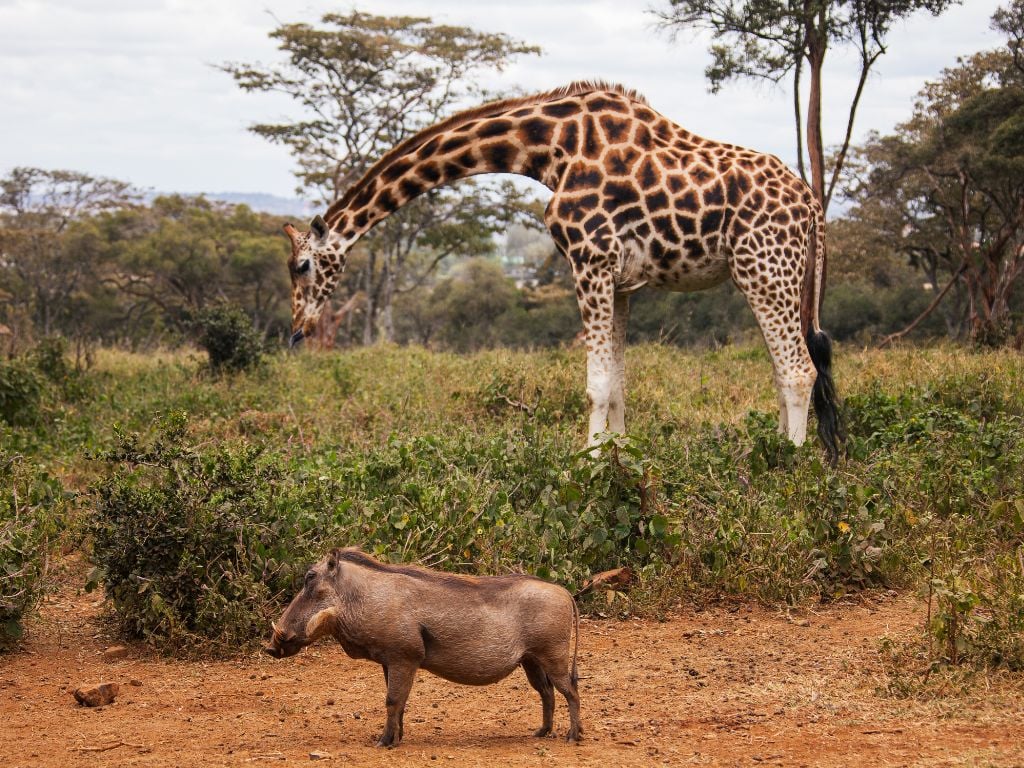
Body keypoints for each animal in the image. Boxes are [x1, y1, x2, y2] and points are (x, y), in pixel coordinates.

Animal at [284, 80, 843, 462]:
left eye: (303, 265)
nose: (297, 330)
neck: (547, 149)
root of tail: (811, 204)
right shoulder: (620, 280)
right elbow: (617, 381)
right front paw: (619, 457)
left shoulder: (588, 259)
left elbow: (595, 383)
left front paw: (587, 464)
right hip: (779, 274)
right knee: (784, 368)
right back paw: (772, 448)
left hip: (764, 268)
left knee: (798, 369)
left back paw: (789, 463)